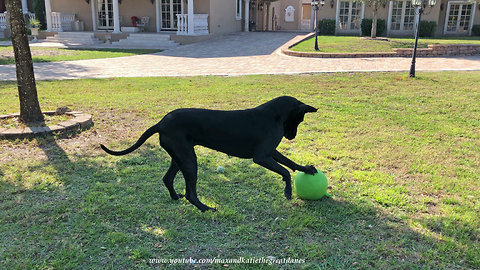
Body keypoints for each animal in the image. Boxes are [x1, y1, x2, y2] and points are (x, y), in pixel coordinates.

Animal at [100, 96, 318, 212]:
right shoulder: (262, 156)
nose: (291, 136)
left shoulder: (270, 151)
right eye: (300, 119)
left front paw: (308, 169)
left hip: (180, 157)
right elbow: (285, 171)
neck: (275, 115)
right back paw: (206, 208)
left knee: (167, 179)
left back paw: (175, 197)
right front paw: (288, 191)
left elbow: (291, 163)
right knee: (190, 193)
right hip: (189, 160)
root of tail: (161, 123)